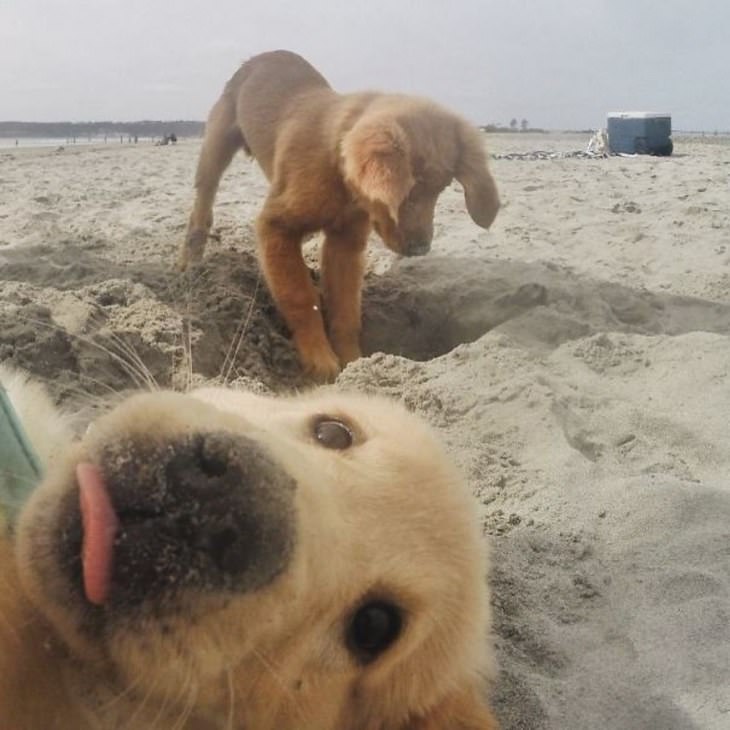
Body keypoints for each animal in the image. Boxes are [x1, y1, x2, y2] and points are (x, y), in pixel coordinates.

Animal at [178, 50, 498, 378]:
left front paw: (352, 360)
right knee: (201, 208)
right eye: (408, 190)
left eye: (442, 187)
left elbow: (345, 308)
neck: (335, 168)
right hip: (215, 146)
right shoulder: (275, 226)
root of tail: (263, 56)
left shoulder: (345, 241)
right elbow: (300, 297)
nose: (421, 249)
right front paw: (318, 357)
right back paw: (190, 265)